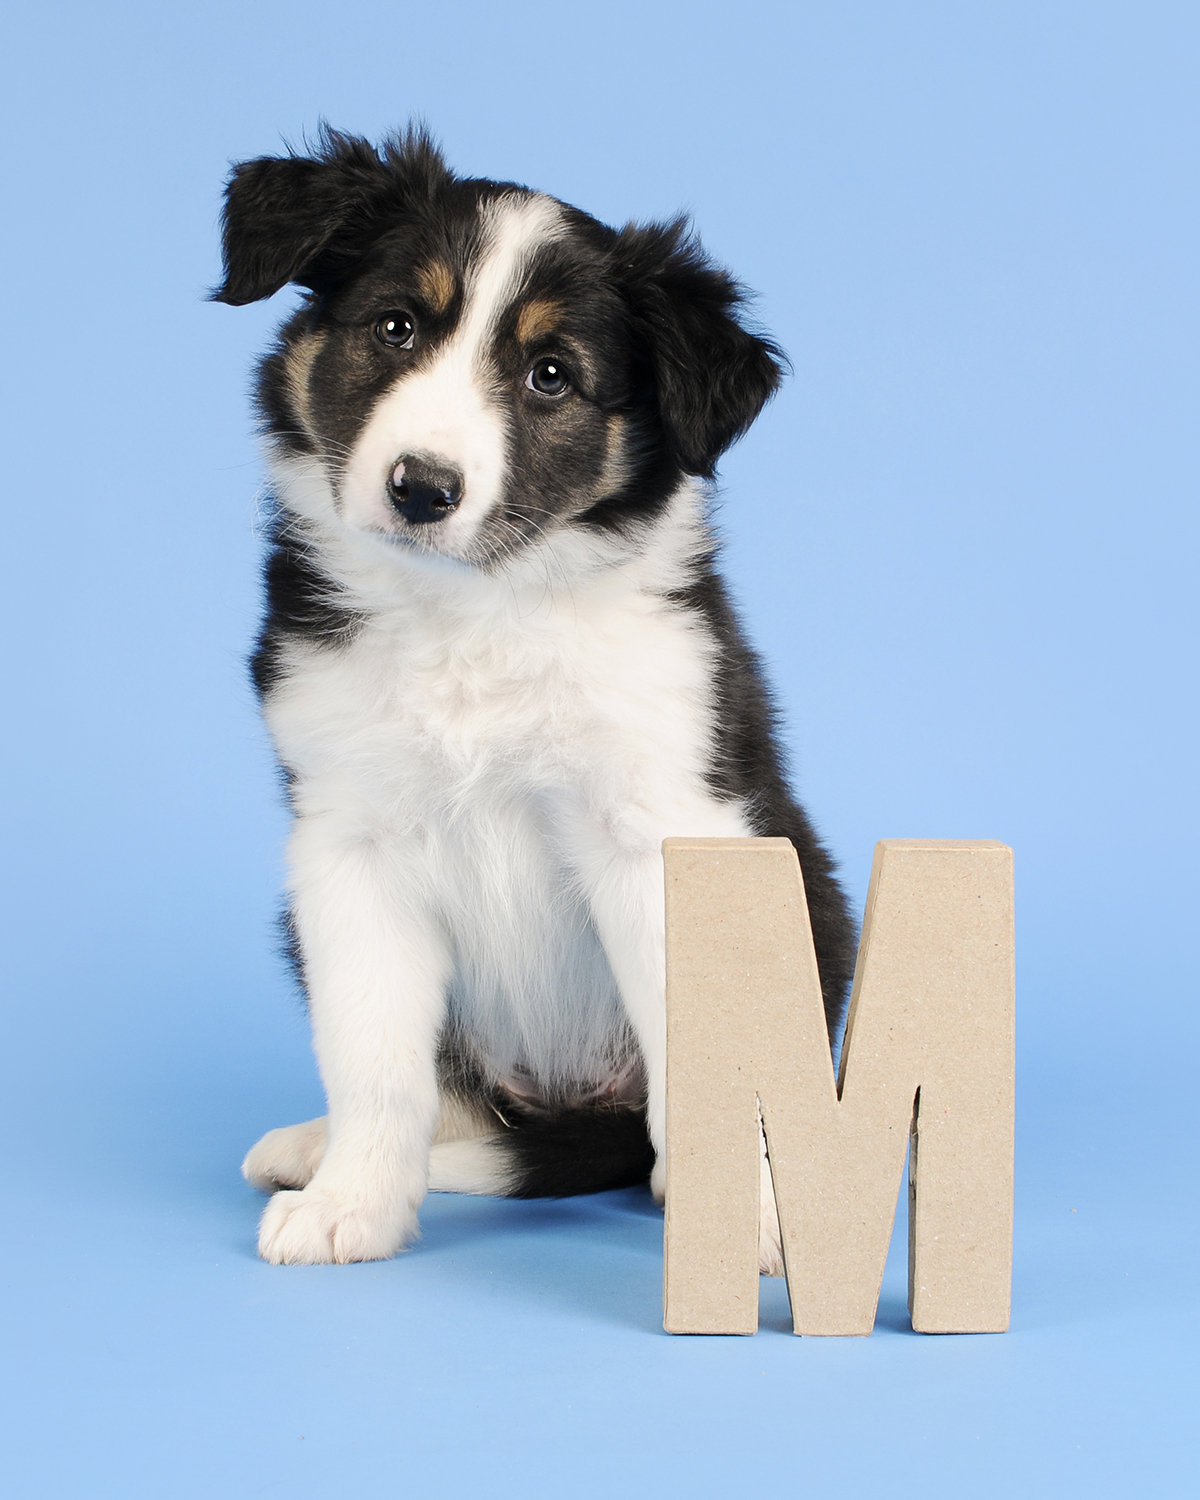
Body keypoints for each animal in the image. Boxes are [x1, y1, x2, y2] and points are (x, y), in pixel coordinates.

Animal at [213, 132, 852, 1278]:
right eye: (396, 326)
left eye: (550, 376)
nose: (422, 487)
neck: (476, 610)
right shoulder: (349, 843)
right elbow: (375, 1054)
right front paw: (354, 1204)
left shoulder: (658, 829)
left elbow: (714, 1067)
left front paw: (752, 1224)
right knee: (457, 1093)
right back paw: (317, 1149)